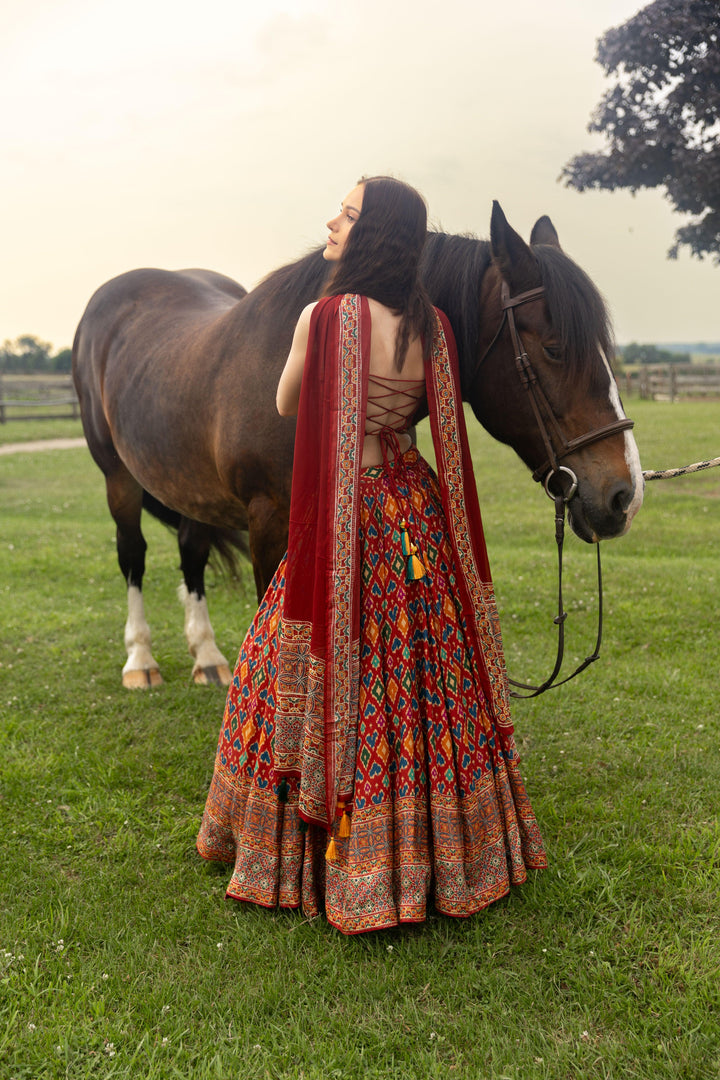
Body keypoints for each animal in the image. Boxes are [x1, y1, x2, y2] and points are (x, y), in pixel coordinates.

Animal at [73, 206, 643, 686]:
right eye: (554, 348)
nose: (625, 495)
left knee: (191, 552)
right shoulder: (269, 521)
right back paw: (140, 660)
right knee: (133, 553)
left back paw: (208, 658)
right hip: (117, 478)